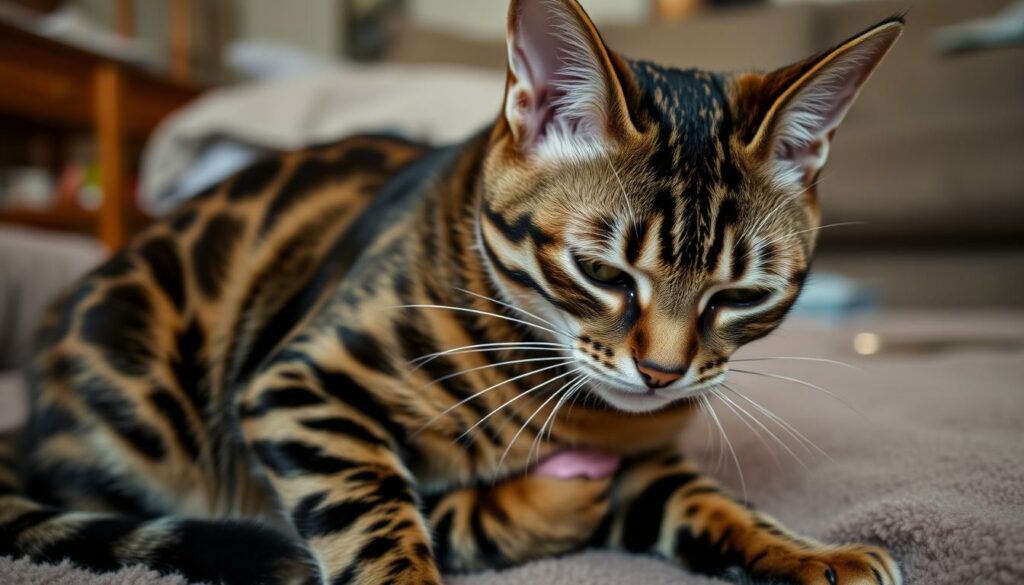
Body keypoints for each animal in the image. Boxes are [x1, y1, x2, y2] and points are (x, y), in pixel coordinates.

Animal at [4, 1, 909, 585]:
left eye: (742, 294)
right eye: (603, 272)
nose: (662, 374)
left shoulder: (646, 455)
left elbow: (712, 502)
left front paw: (811, 552)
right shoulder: (293, 384)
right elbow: (373, 508)